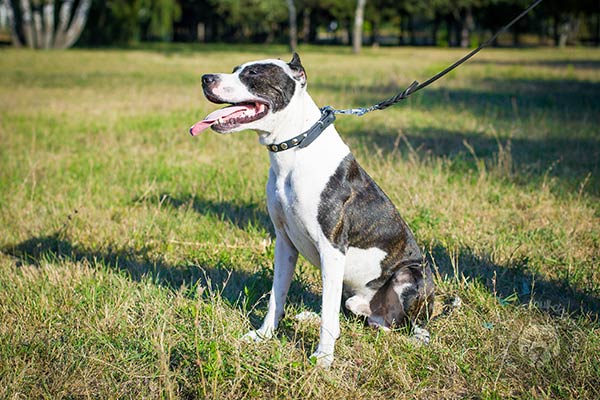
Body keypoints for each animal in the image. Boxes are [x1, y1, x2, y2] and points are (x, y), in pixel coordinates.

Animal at [192, 53, 436, 368]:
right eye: (235, 69)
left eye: (253, 73)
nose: (205, 78)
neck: (295, 147)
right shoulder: (284, 242)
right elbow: (277, 295)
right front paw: (263, 335)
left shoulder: (332, 249)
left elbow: (328, 312)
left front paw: (324, 357)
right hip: (352, 293)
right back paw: (311, 317)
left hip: (409, 276)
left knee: (397, 324)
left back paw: (415, 336)